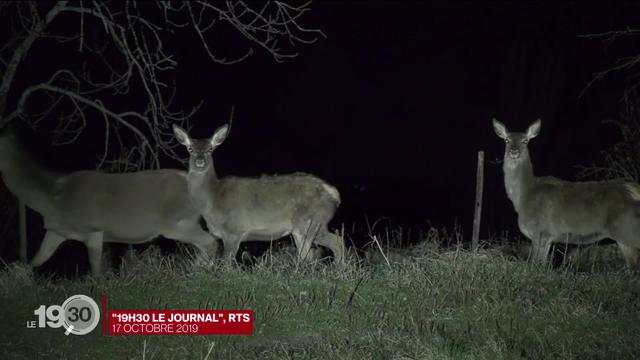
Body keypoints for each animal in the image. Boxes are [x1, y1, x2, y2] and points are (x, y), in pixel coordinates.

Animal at [0, 126, 218, 276]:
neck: (52, 197)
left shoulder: (93, 230)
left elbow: (96, 272)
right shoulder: (56, 231)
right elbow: (35, 261)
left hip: (177, 223)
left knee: (210, 242)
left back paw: (194, 273)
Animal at [171, 124, 344, 264]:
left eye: (210, 149)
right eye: (190, 149)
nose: (200, 161)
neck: (212, 199)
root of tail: (334, 194)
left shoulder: (233, 230)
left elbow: (227, 264)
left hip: (310, 222)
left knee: (330, 245)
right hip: (310, 226)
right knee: (325, 247)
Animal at [496, 118, 640, 270]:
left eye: (525, 141)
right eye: (507, 140)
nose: (514, 151)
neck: (523, 196)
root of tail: (635, 190)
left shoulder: (541, 231)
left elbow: (537, 264)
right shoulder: (546, 237)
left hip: (627, 228)